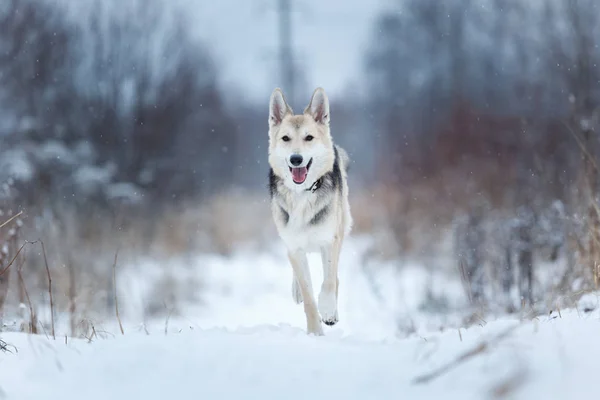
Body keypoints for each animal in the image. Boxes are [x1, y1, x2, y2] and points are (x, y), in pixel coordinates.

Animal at [268, 86, 352, 334]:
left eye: (309, 137)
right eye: (285, 138)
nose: (296, 159)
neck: (303, 194)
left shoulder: (329, 240)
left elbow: (329, 281)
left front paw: (328, 310)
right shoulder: (295, 246)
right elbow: (308, 296)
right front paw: (315, 332)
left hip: (341, 226)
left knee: (334, 277)